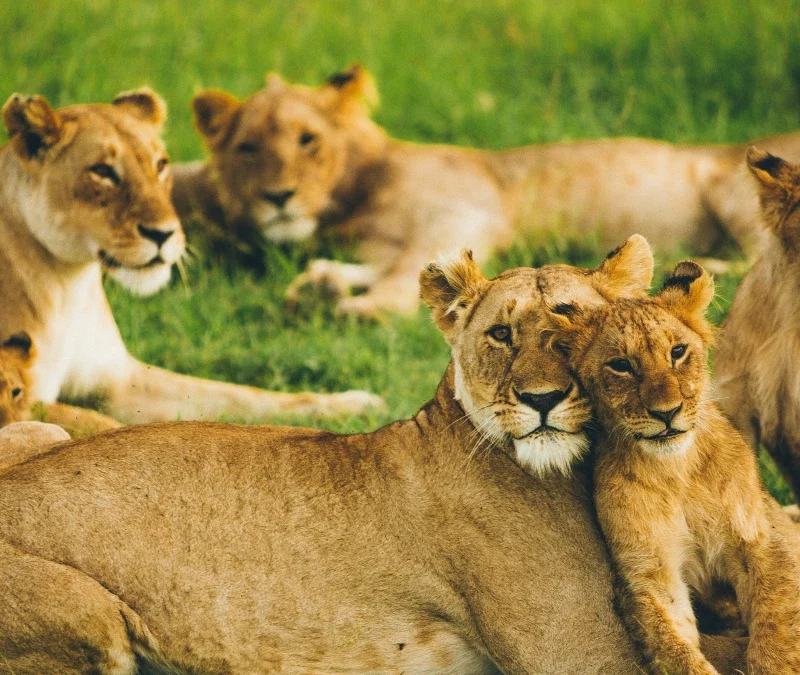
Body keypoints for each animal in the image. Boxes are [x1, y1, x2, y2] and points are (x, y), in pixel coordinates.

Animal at [0, 91, 384, 424]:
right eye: (102, 171)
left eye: (160, 164)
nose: (163, 234)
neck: (69, 284)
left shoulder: (120, 381)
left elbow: (241, 395)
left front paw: (356, 404)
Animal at [0, 238, 746, 674]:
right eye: (502, 334)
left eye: (574, 330)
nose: (540, 400)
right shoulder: (577, 653)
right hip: (91, 614)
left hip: (44, 431)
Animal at [174, 64, 800, 317]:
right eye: (247, 148)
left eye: (308, 140)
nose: (277, 197)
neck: (353, 198)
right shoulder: (384, 242)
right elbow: (389, 265)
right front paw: (320, 285)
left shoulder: (463, 212)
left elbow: (408, 273)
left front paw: (363, 308)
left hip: (733, 185)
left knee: (762, 259)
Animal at [545, 260, 800, 674]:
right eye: (621, 366)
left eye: (677, 352)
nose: (666, 413)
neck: (676, 472)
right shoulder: (649, 574)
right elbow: (674, 647)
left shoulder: (760, 540)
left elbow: (777, 628)